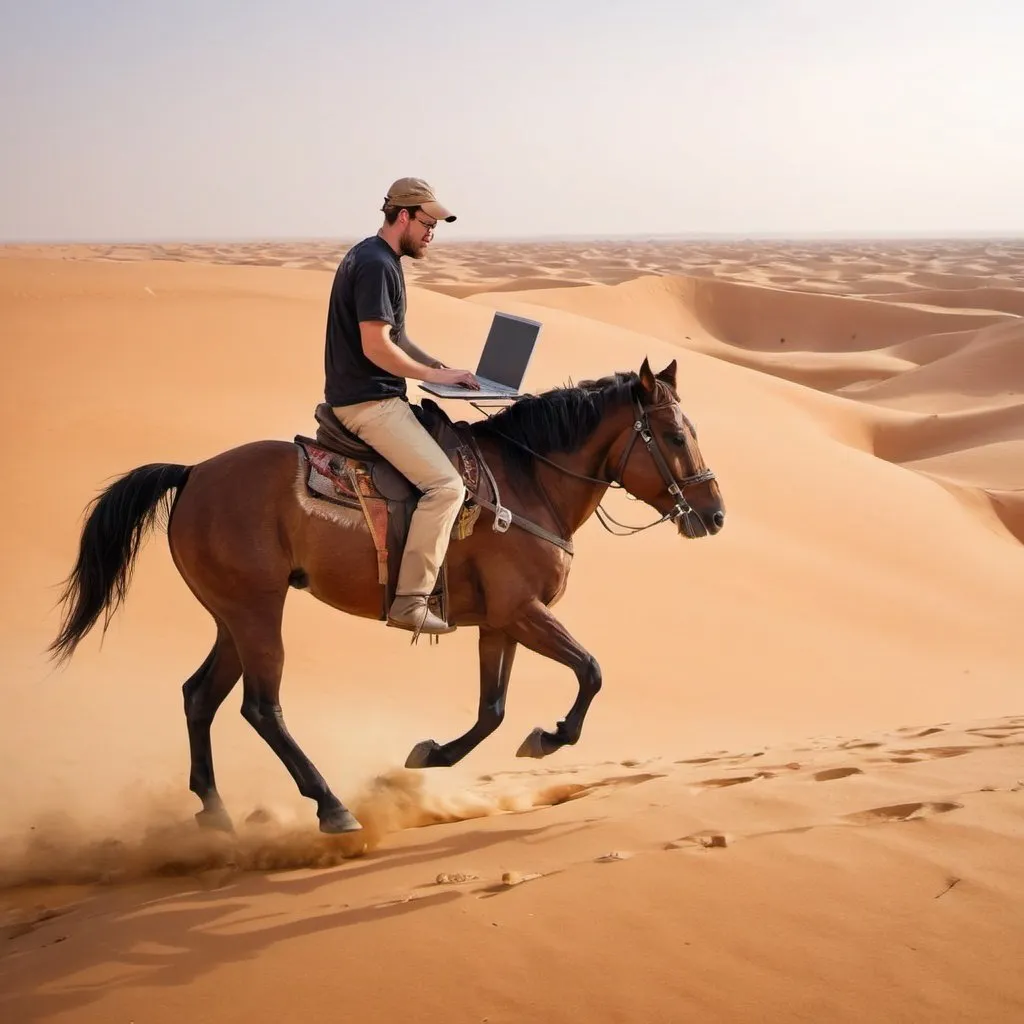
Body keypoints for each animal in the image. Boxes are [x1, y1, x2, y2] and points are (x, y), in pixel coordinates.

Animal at [46, 356, 720, 835]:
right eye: (672, 436)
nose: (714, 514)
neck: (529, 482)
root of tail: (192, 474)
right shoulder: (524, 613)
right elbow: (591, 670)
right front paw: (550, 737)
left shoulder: (499, 622)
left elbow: (492, 710)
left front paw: (431, 754)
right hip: (257, 612)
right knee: (260, 708)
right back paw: (330, 807)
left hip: (231, 617)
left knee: (199, 696)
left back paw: (216, 815)